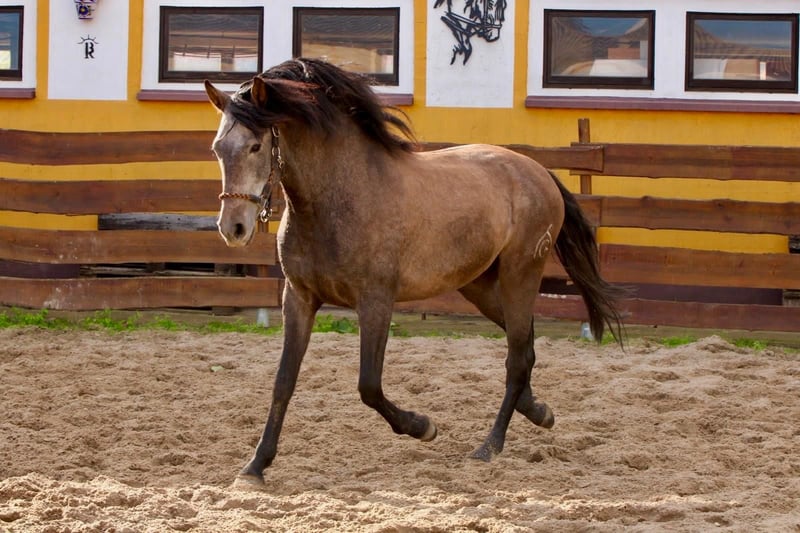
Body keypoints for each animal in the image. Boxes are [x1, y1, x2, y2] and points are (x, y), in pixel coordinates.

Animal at [205, 58, 624, 486]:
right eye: (218, 148)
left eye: (256, 146)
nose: (233, 228)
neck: (340, 198)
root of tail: (539, 171)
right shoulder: (299, 298)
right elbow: (283, 382)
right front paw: (255, 467)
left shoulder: (375, 302)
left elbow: (369, 386)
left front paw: (423, 427)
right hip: (479, 285)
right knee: (524, 346)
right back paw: (540, 412)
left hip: (520, 274)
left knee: (517, 357)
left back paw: (488, 448)